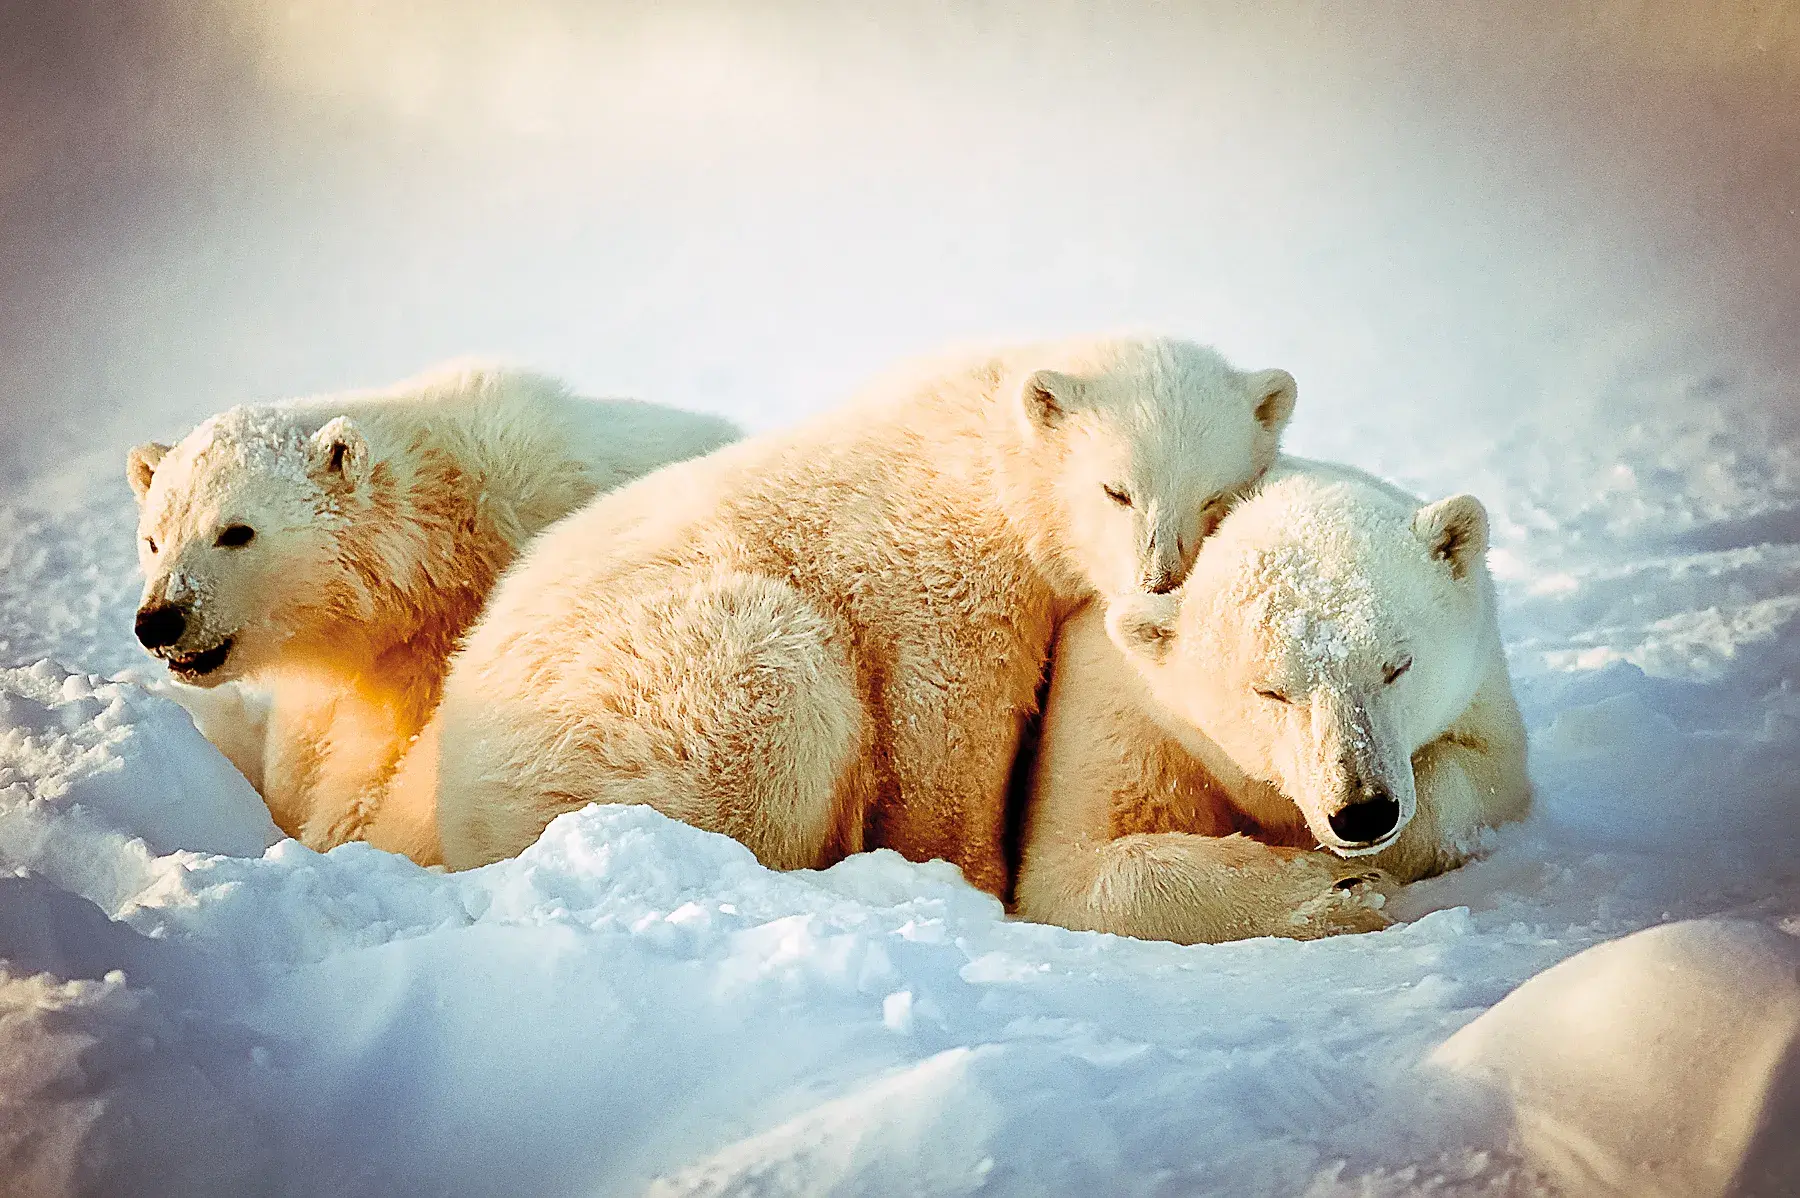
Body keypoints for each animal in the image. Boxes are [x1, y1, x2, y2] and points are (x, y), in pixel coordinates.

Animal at [408, 336, 1303, 885]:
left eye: (1217, 496)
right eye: (1116, 489)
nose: (1159, 578)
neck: (987, 452)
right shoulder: (937, 570)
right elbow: (946, 728)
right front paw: (968, 878)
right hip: (647, 698)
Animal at [1022, 456, 1526, 942]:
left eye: (1398, 666)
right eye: (1271, 691)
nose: (1363, 812)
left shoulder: (1481, 687)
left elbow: (1486, 778)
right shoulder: (1122, 720)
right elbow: (1072, 867)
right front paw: (1335, 890)